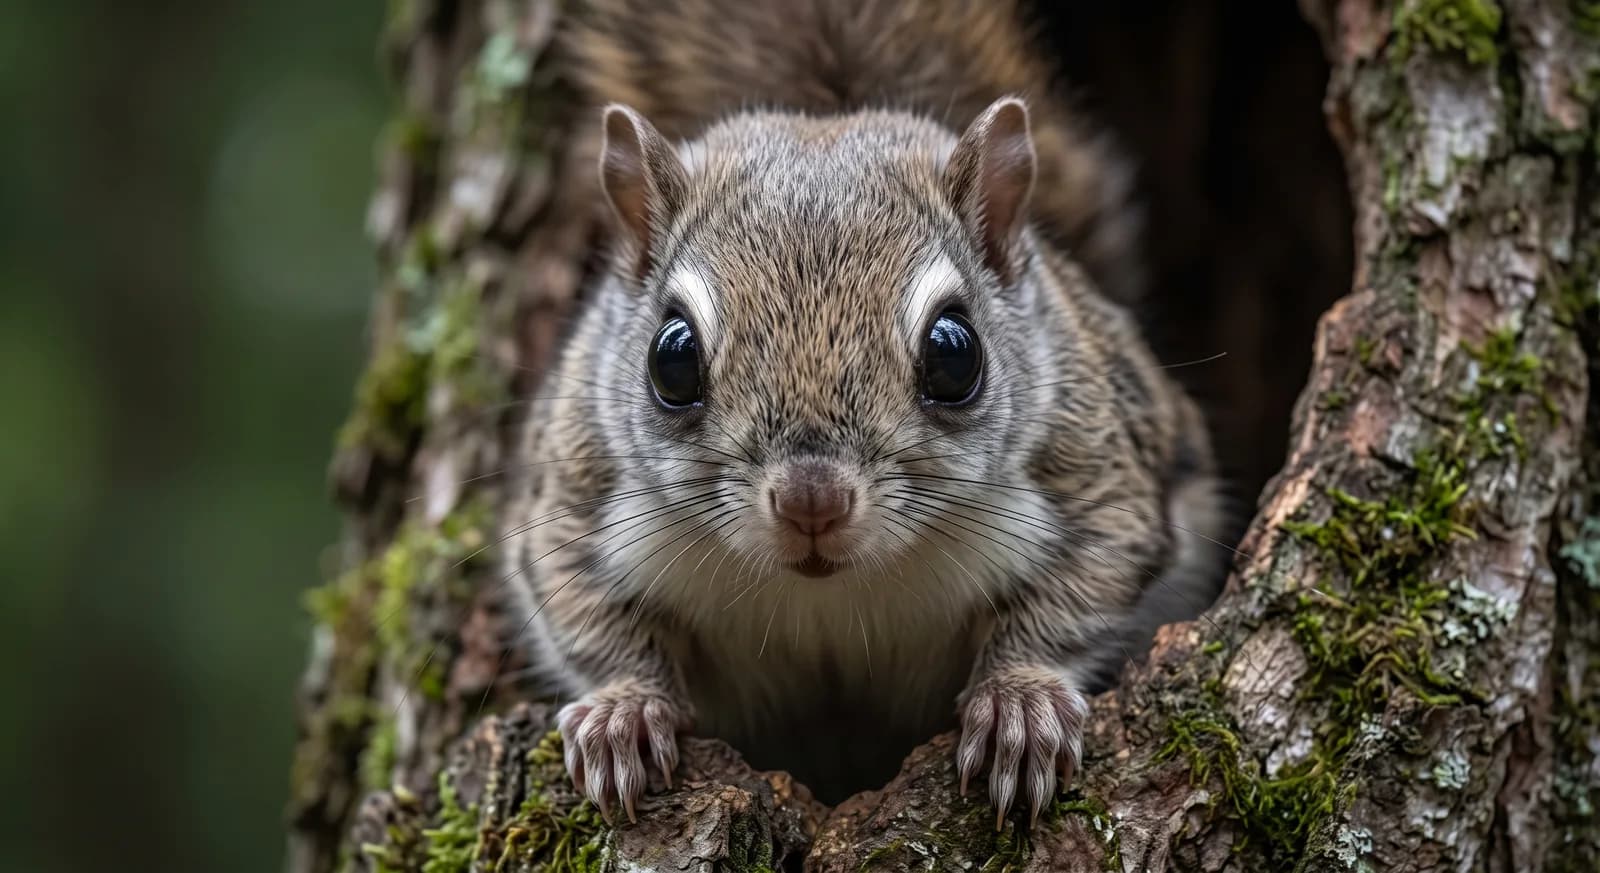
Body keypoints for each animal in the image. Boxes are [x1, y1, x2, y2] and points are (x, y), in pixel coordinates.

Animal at [502, 0, 1229, 830]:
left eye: (955, 353)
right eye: (672, 359)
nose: (811, 503)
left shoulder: (1097, 473)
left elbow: (1081, 589)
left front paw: (1020, 704)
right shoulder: (576, 492)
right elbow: (589, 614)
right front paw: (622, 712)